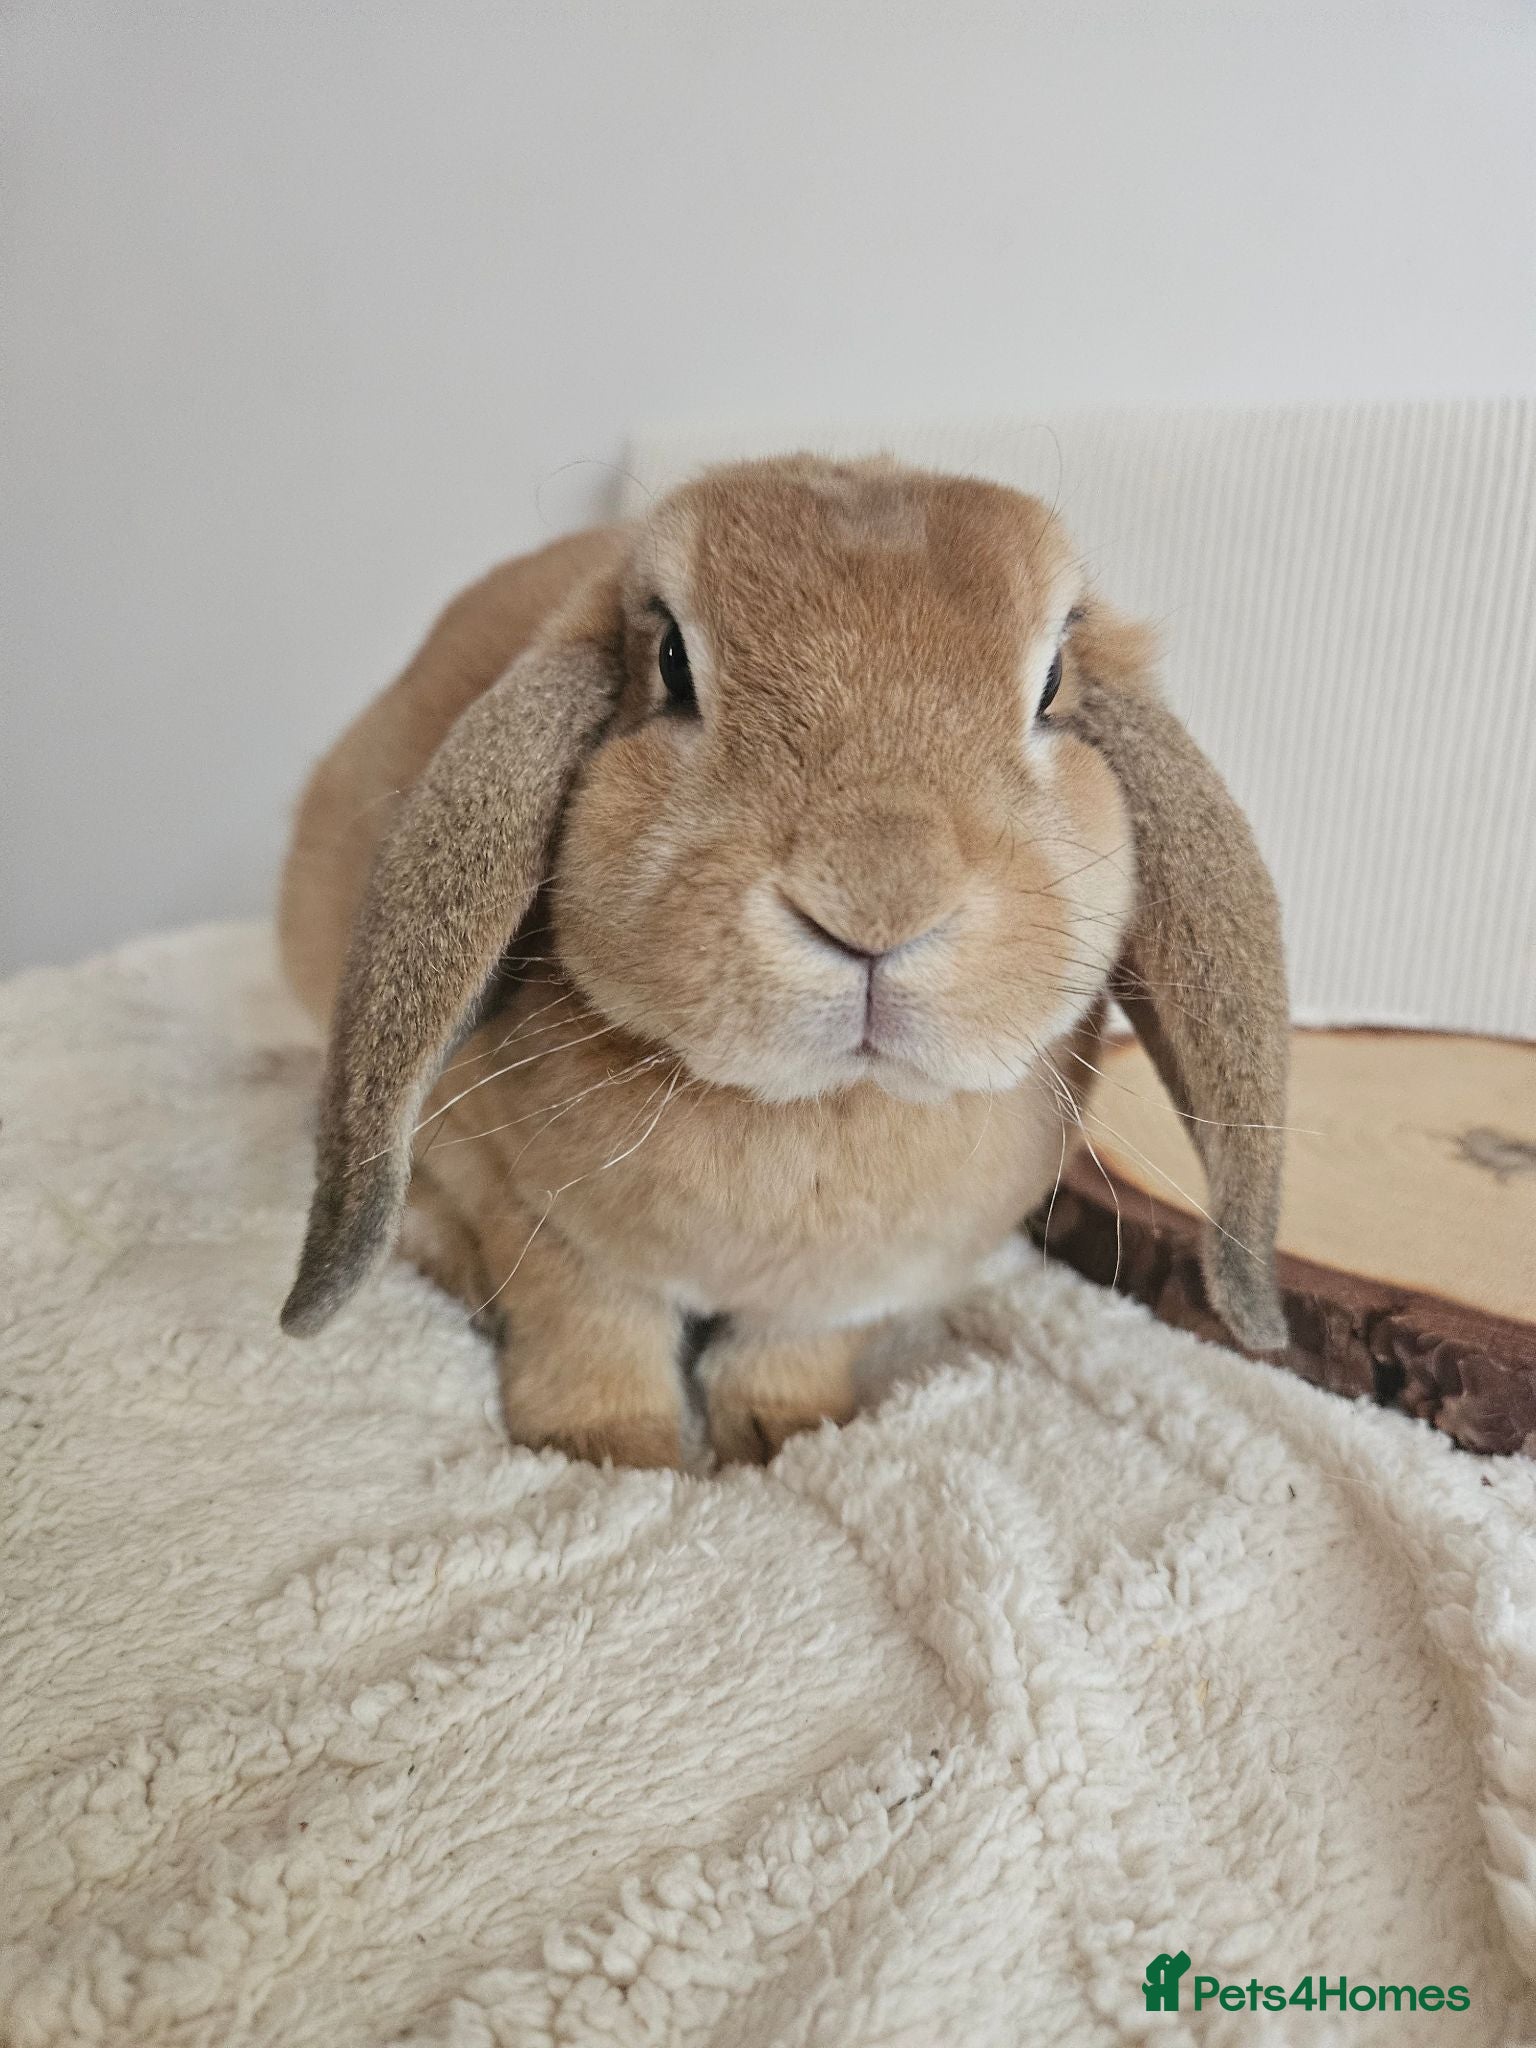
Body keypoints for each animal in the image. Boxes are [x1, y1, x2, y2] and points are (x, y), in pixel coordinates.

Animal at [277, 454, 1289, 1468]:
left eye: (1052, 684)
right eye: (671, 662)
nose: (879, 899)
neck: (821, 1107)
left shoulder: (843, 1298)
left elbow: (784, 1357)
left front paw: (785, 1439)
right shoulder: (543, 1228)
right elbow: (590, 1334)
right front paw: (615, 1451)